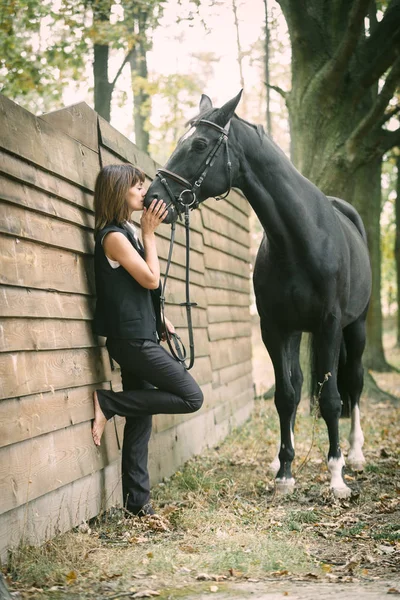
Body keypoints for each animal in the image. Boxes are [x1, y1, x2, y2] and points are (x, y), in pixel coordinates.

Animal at [146, 91, 372, 500]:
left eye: (199, 144)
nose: (151, 198)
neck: (301, 238)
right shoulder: (274, 328)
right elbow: (285, 395)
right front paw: (284, 472)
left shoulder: (330, 326)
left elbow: (331, 399)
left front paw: (336, 476)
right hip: (296, 331)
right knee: (297, 384)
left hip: (356, 328)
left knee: (354, 381)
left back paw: (357, 453)